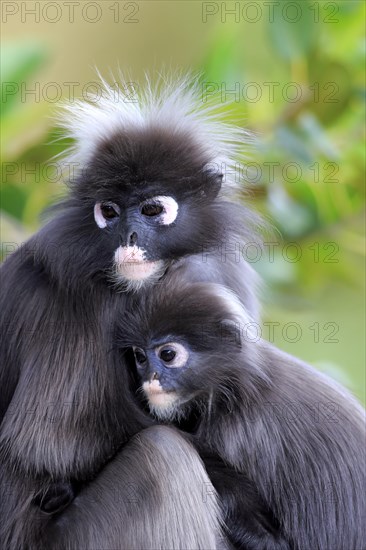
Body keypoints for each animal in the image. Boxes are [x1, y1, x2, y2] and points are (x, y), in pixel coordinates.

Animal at [0, 75, 258, 548]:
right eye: (110, 211)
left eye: (152, 209)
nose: (129, 236)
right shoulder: (77, 301)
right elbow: (48, 445)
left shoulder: (220, 269)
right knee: (163, 456)